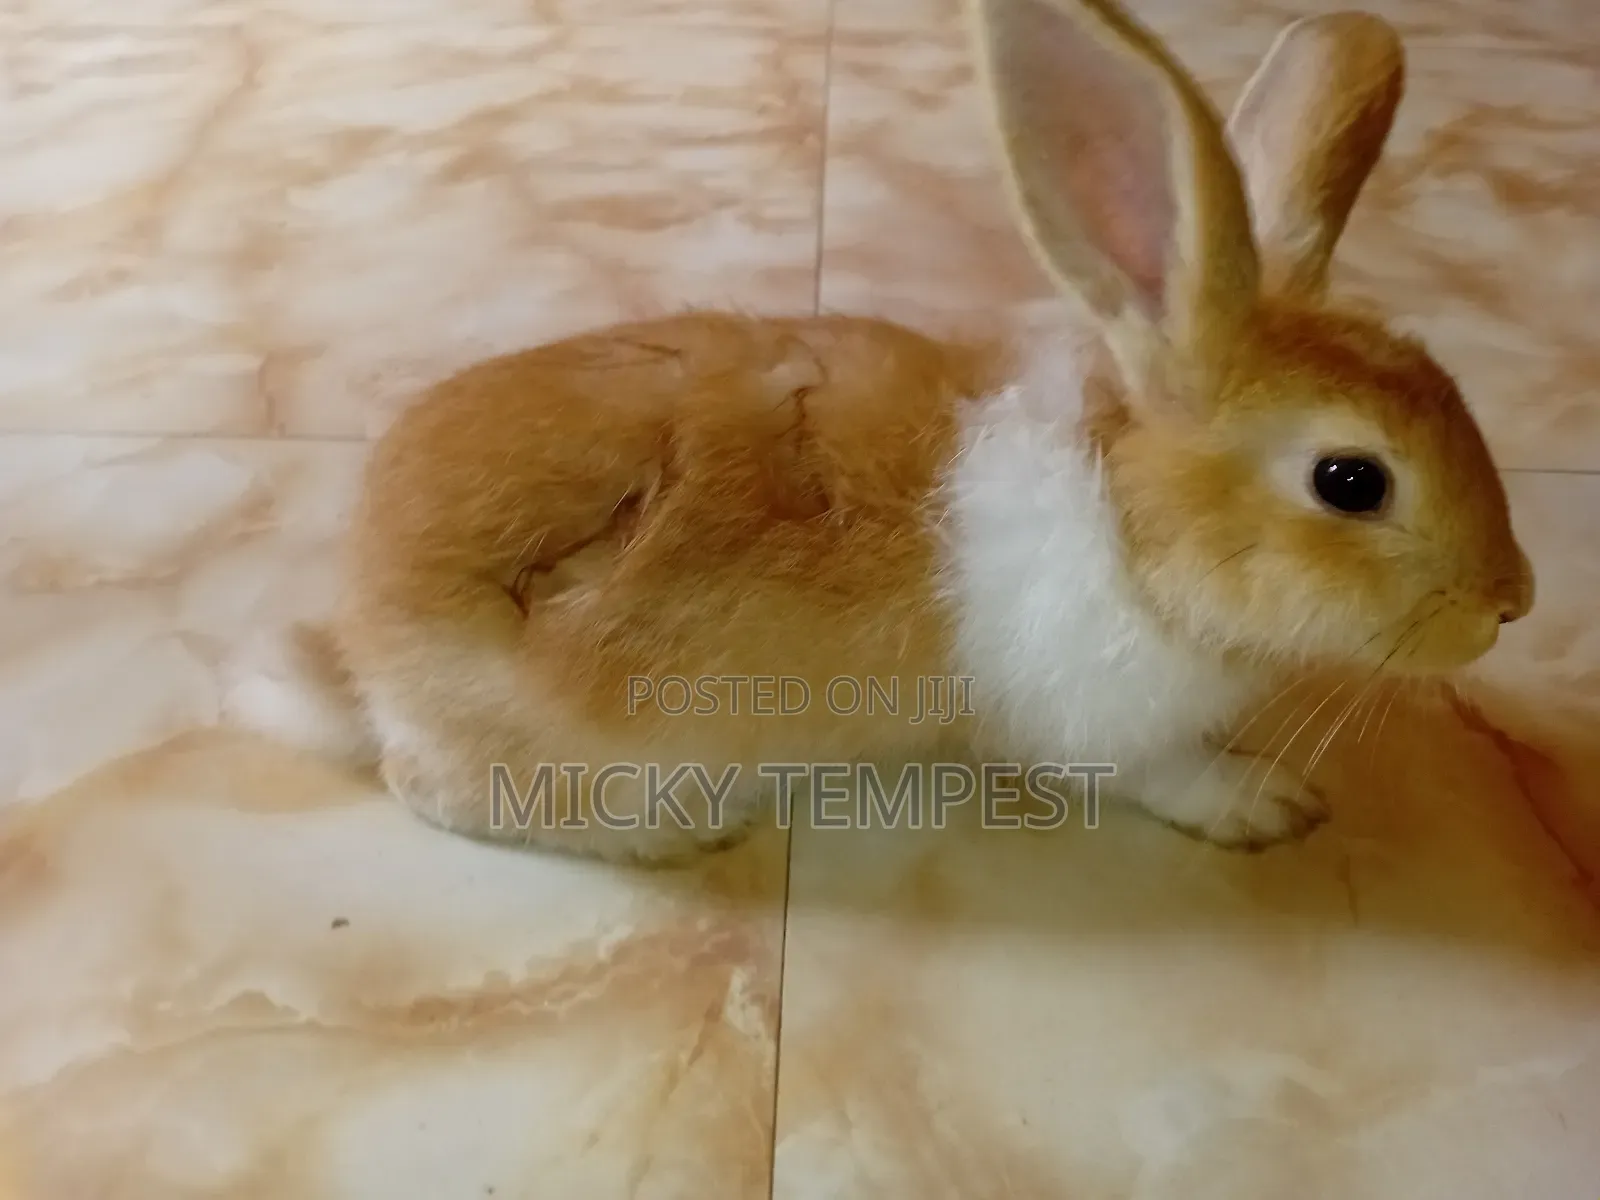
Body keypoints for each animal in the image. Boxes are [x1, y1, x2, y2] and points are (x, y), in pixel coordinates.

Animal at [225, 0, 1533, 866]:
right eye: (1350, 480)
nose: (1508, 602)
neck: (1128, 520)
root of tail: (360, 642)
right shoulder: (1104, 730)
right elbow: (1170, 776)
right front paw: (1264, 803)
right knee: (420, 786)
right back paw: (687, 833)